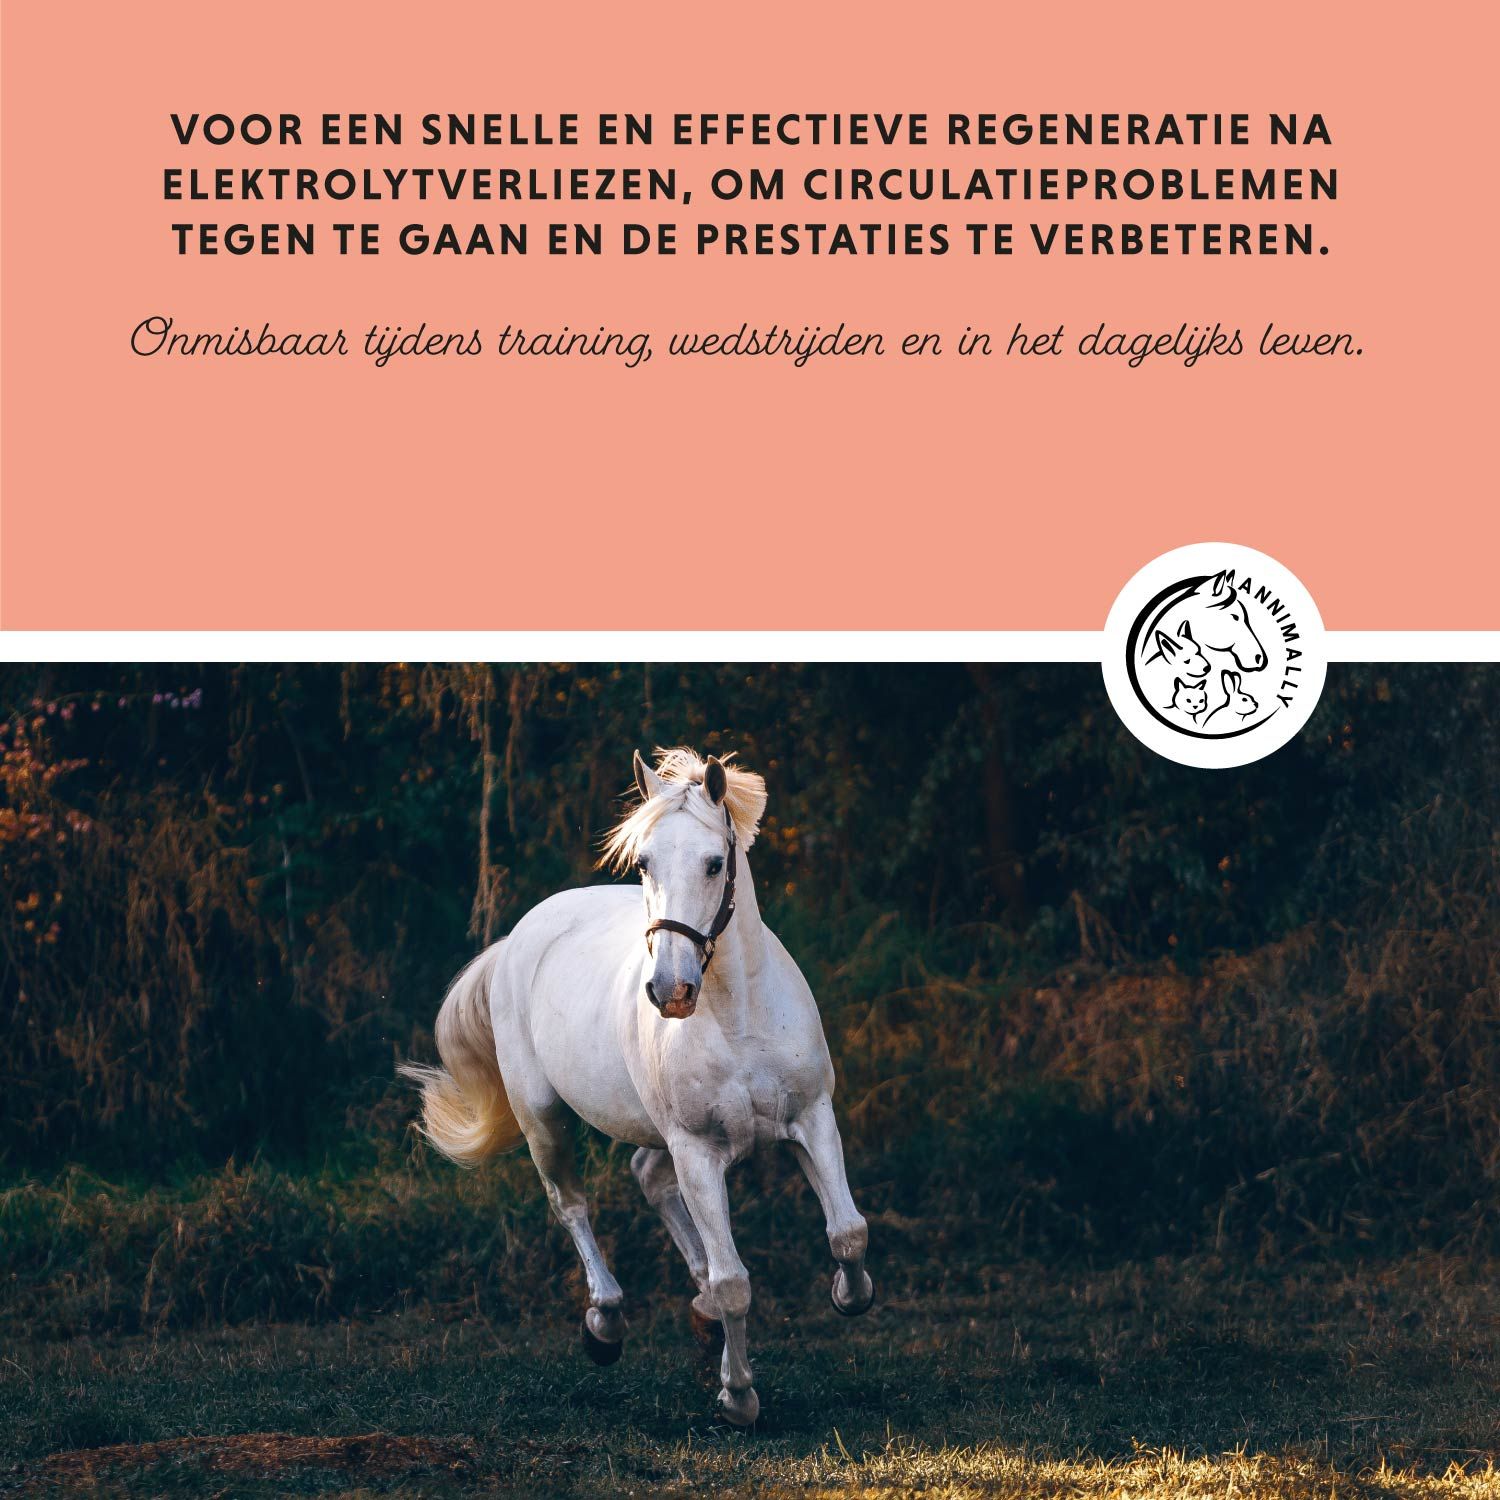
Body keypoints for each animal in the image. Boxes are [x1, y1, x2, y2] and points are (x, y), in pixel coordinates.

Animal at [401, 746, 872, 1427]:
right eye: (644, 862)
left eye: (714, 863)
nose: (669, 990)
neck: (739, 1017)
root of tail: (519, 937)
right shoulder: (698, 1150)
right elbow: (735, 1281)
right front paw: (738, 1396)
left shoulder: (811, 1118)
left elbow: (847, 1233)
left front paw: (844, 1294)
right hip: (544, 1118)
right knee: (571, 1204)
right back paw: (605, 1323)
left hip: (657, 1132)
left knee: (648, 1177)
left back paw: (698, 1313)